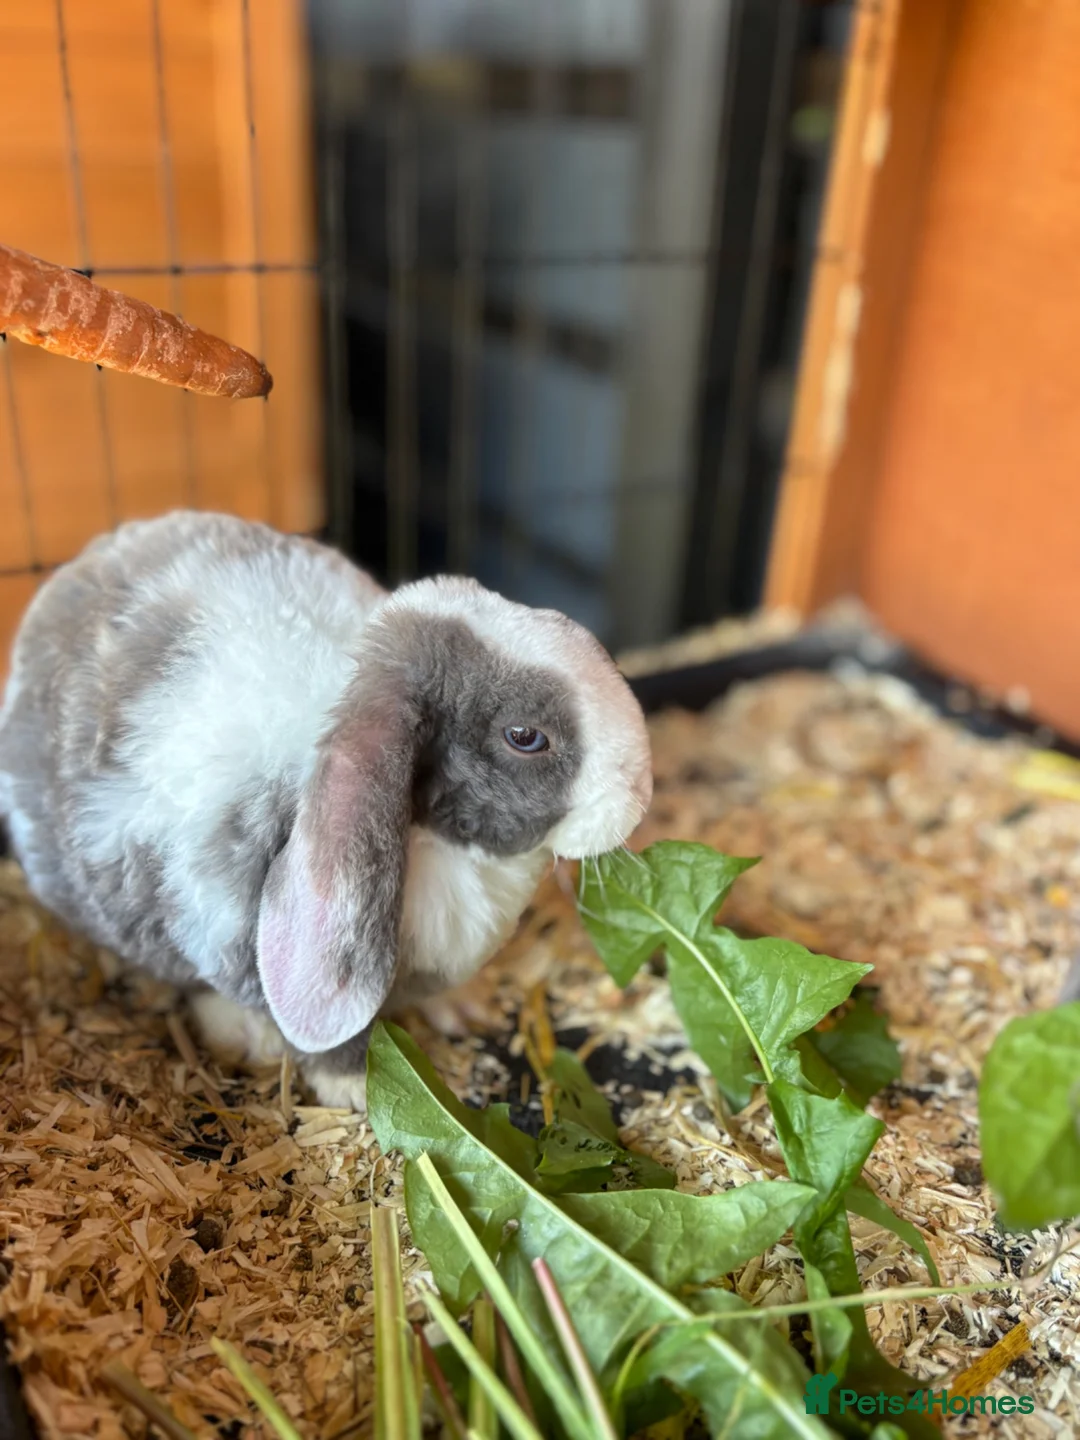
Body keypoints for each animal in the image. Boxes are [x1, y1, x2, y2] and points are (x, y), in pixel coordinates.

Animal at [0, 511, 653, 1110]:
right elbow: (329, 1031)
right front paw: (357, 1089)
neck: (438, 845)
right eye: (525, 736)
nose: (642, 791)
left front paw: (467, 1009)